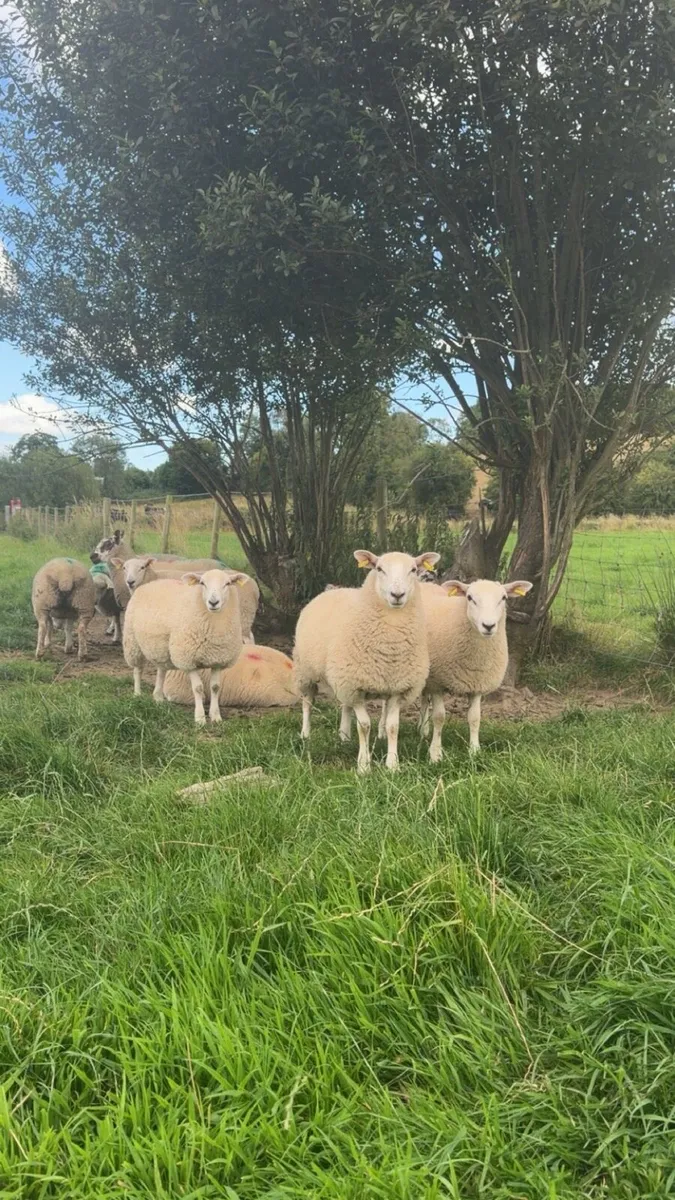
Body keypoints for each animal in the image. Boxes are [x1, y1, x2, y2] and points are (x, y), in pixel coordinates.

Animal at [118, 556, 259, 642]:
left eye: (142, 567)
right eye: (124, 568)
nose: (130, 582)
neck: (153, 578)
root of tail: (255, 587)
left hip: (244, 614)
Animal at [122, 568, 246, 724]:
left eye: (228, 583)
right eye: (202, 583)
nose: (213, 602)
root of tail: (150, 584)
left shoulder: (218, 659)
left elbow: (215, 687)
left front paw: (215, 716)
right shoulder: (187, 659)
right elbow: (198, 688)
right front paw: (200, 718)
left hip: (161, 649)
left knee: (161, 671)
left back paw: (158, 698)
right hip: (132, 642)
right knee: (138, 670)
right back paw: (137, 694)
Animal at [293, 549, 440, 773]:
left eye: (414, 570)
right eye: (379, 569)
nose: (397, 595)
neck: (390, 645)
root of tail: (334, 589)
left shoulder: (396, 688)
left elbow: (393, 727)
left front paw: (393, 764)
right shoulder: (357, 687)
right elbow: (364, 726)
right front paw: (364, 765)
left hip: (342, 678)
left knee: (345, 706)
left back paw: (344, 736)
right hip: (306, 672)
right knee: (307, 703)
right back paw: (305, 734)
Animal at [414, 577, 533, 761]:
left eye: (503, 598)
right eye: (470, 598)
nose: (488, 625)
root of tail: (426, 584)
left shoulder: (478, 683)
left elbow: (475, 718)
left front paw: (474, 750)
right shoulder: (438, 683)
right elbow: (439, 717)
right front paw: (435, 754)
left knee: (424, 698)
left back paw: (423, 730)